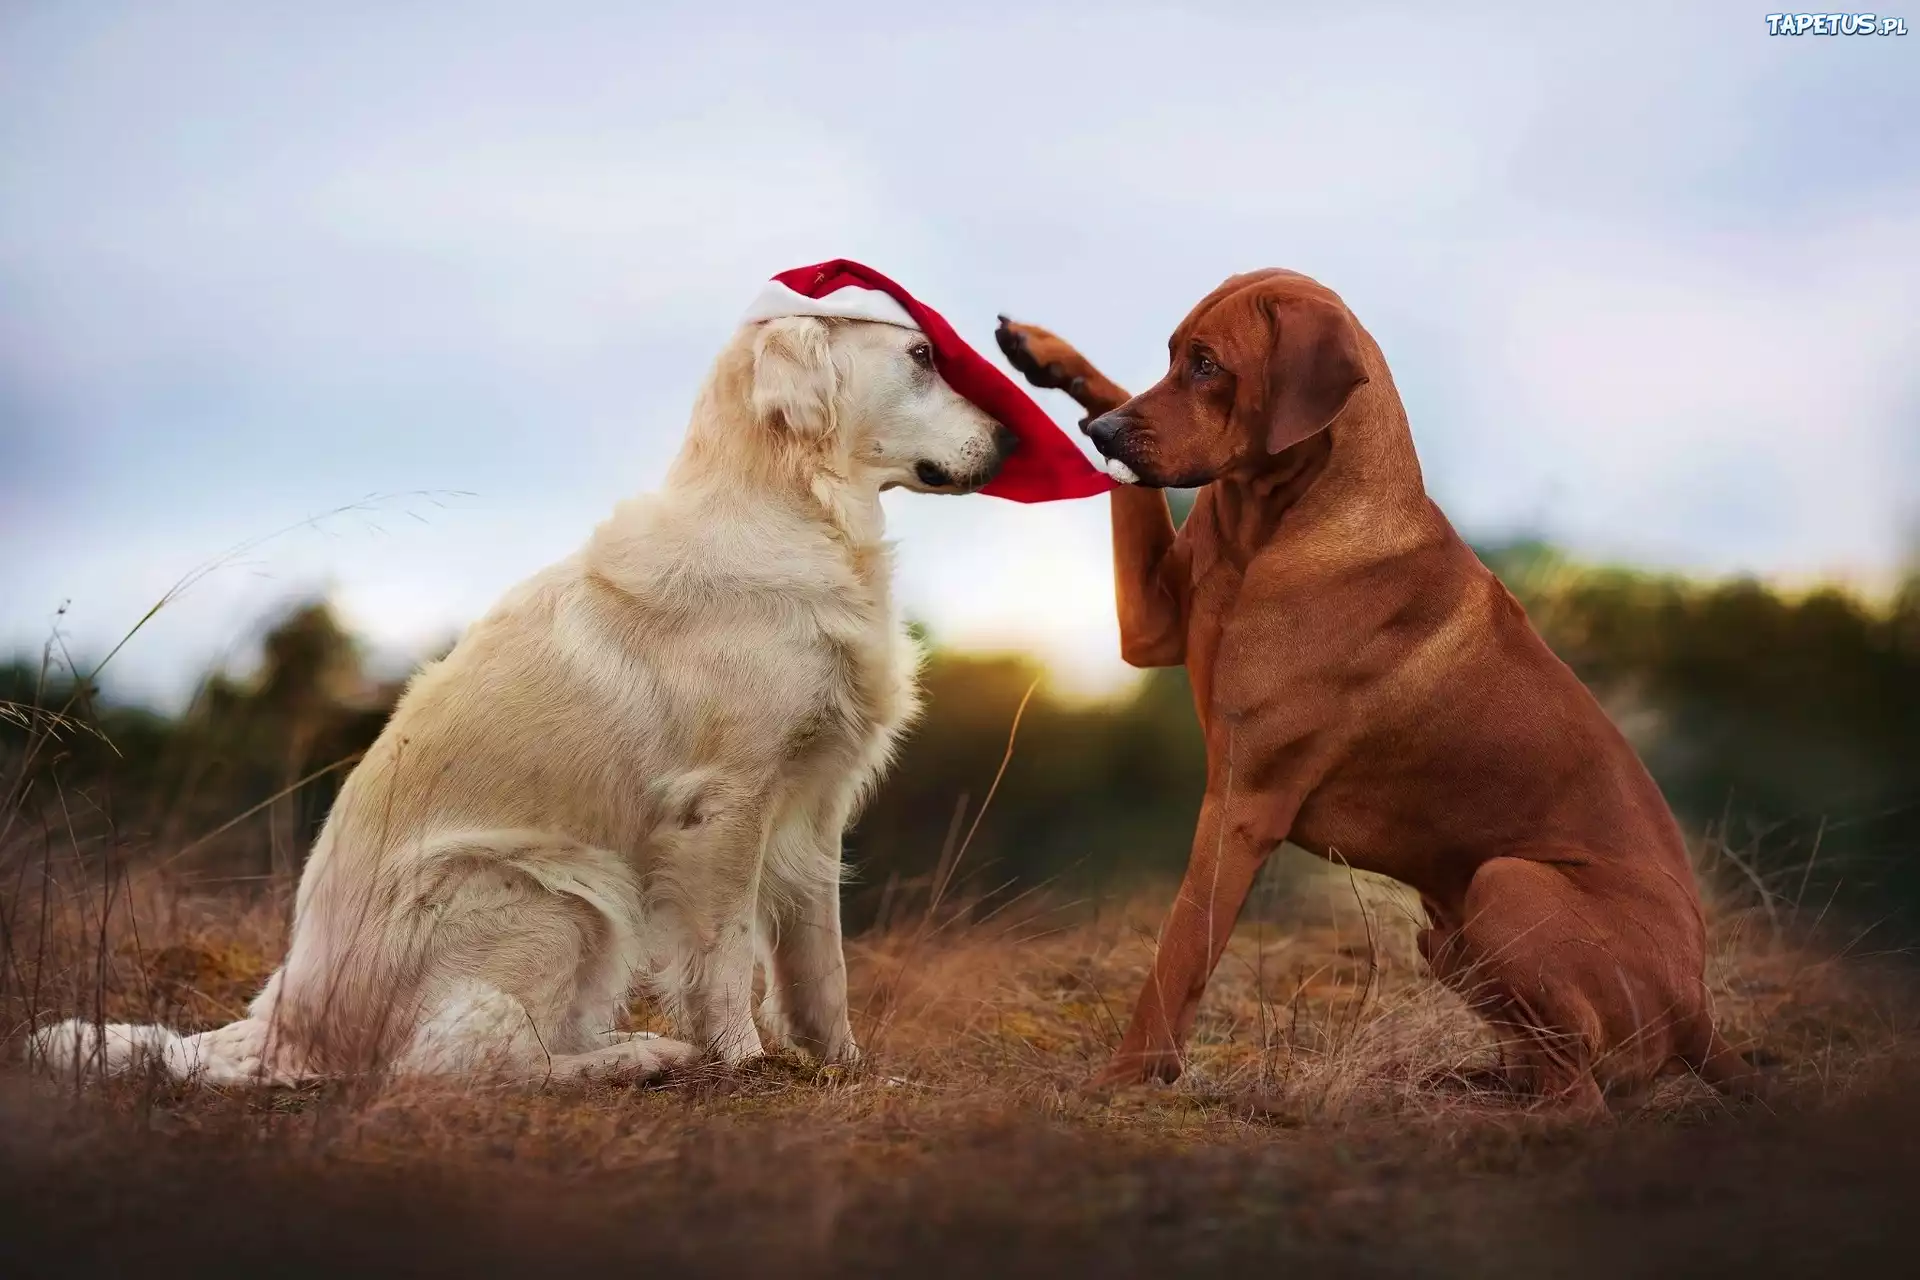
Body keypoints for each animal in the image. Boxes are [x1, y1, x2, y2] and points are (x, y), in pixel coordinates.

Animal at [33, 307, 1021, 1082]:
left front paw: (845, 1067)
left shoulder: (814, 802)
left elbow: (821, 964)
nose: (1017, 438)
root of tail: (280, 1032)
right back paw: (638, 1058)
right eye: (922, 356)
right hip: (555, 895)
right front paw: (742, 1062)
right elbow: (725, 954)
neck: (800, 513)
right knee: (461, 1063)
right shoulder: (726, 803)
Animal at [998, 276, 1758, 1113]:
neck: (1276, 520)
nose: (1100, 434)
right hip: (1446, 934)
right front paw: (1050, 355)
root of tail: (1699, 1011)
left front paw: (1128, 1077)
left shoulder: (1243, 803)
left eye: (1207, 364)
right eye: (1171, 356)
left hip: (1505, 885)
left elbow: (1182, 948)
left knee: (1583, 1093)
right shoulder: (1150, 627)